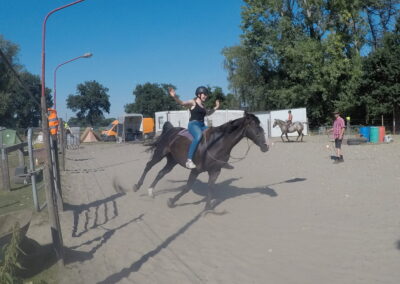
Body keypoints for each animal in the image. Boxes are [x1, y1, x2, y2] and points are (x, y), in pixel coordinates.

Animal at [134, 112, 268, 210]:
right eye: (257, 129)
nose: (265, 147)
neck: (216, 144)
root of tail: (171, 130)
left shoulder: (215, 171)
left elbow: (211, 187)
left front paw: (208, 207)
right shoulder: (196, 170)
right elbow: (187, 187)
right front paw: (172, 201)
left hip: (172, 161)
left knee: (161, 173)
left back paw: (151, 191)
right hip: (160, 153)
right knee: (148, 166)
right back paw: (137, 186)